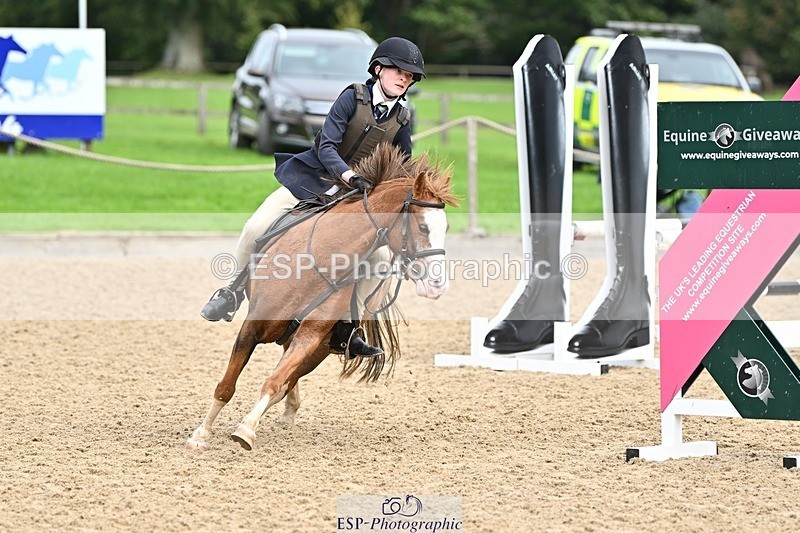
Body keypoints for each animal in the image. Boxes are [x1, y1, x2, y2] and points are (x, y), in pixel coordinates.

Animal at [186, 144, 459, 452]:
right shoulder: (252, 327)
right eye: (423, 228)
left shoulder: (310, 337)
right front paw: (201, 434)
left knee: (285, 383)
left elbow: (274, 382)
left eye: (446, 229)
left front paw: (246, 430)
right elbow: (226, 386)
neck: (321, 258)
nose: (437, 286)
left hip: (318, 350)